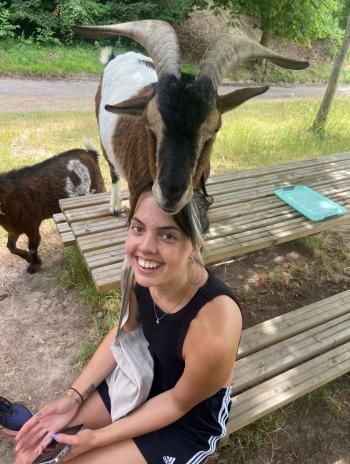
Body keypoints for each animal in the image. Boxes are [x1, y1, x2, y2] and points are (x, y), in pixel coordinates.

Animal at [75, 20, 308, 217]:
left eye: (215, 129)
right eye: (149, 122)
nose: (171, 193)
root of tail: (116, 57)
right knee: (113, 170)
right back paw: (114, 206)